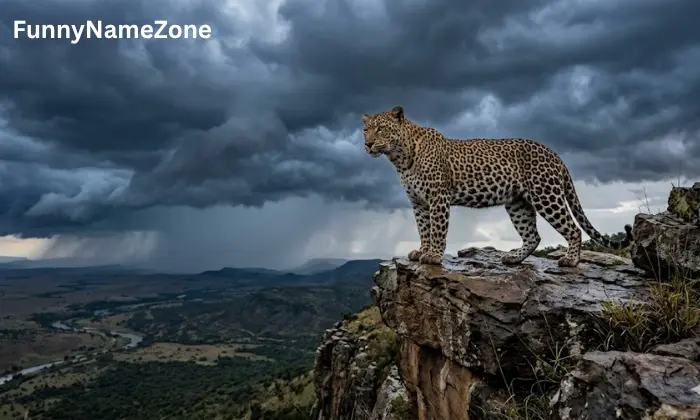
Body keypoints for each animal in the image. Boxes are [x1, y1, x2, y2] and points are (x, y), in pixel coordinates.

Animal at [361, 105, 633, 267]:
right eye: (365, 129)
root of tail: (555, 154)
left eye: (381, 129)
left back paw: (571, 260)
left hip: (546, 195)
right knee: (533, 236)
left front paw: (434, 256)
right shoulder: (418, 202)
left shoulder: (438, 198)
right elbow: (423, 229)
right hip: (518, 203)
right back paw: (513, 258)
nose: (367, 144)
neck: (400, 158)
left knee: (573, 228)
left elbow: (437, 229)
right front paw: (421, 251)